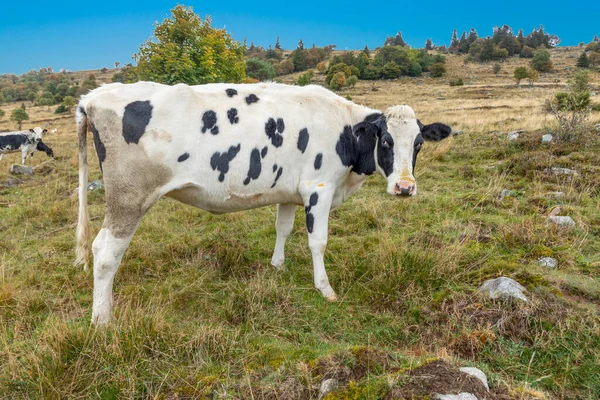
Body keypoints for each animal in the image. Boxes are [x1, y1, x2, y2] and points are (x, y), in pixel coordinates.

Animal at [74, 81, 450, 324]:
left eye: (418, 143)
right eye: (385, 141)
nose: (405, 187)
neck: (344, 131)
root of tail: (94, 95)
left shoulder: (290, 191)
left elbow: (283, 228)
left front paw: (277, 265)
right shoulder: (318, 188)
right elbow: (318, 242)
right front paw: (325, 288)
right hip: (128, 198)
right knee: (105, 252)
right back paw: (102, 319)